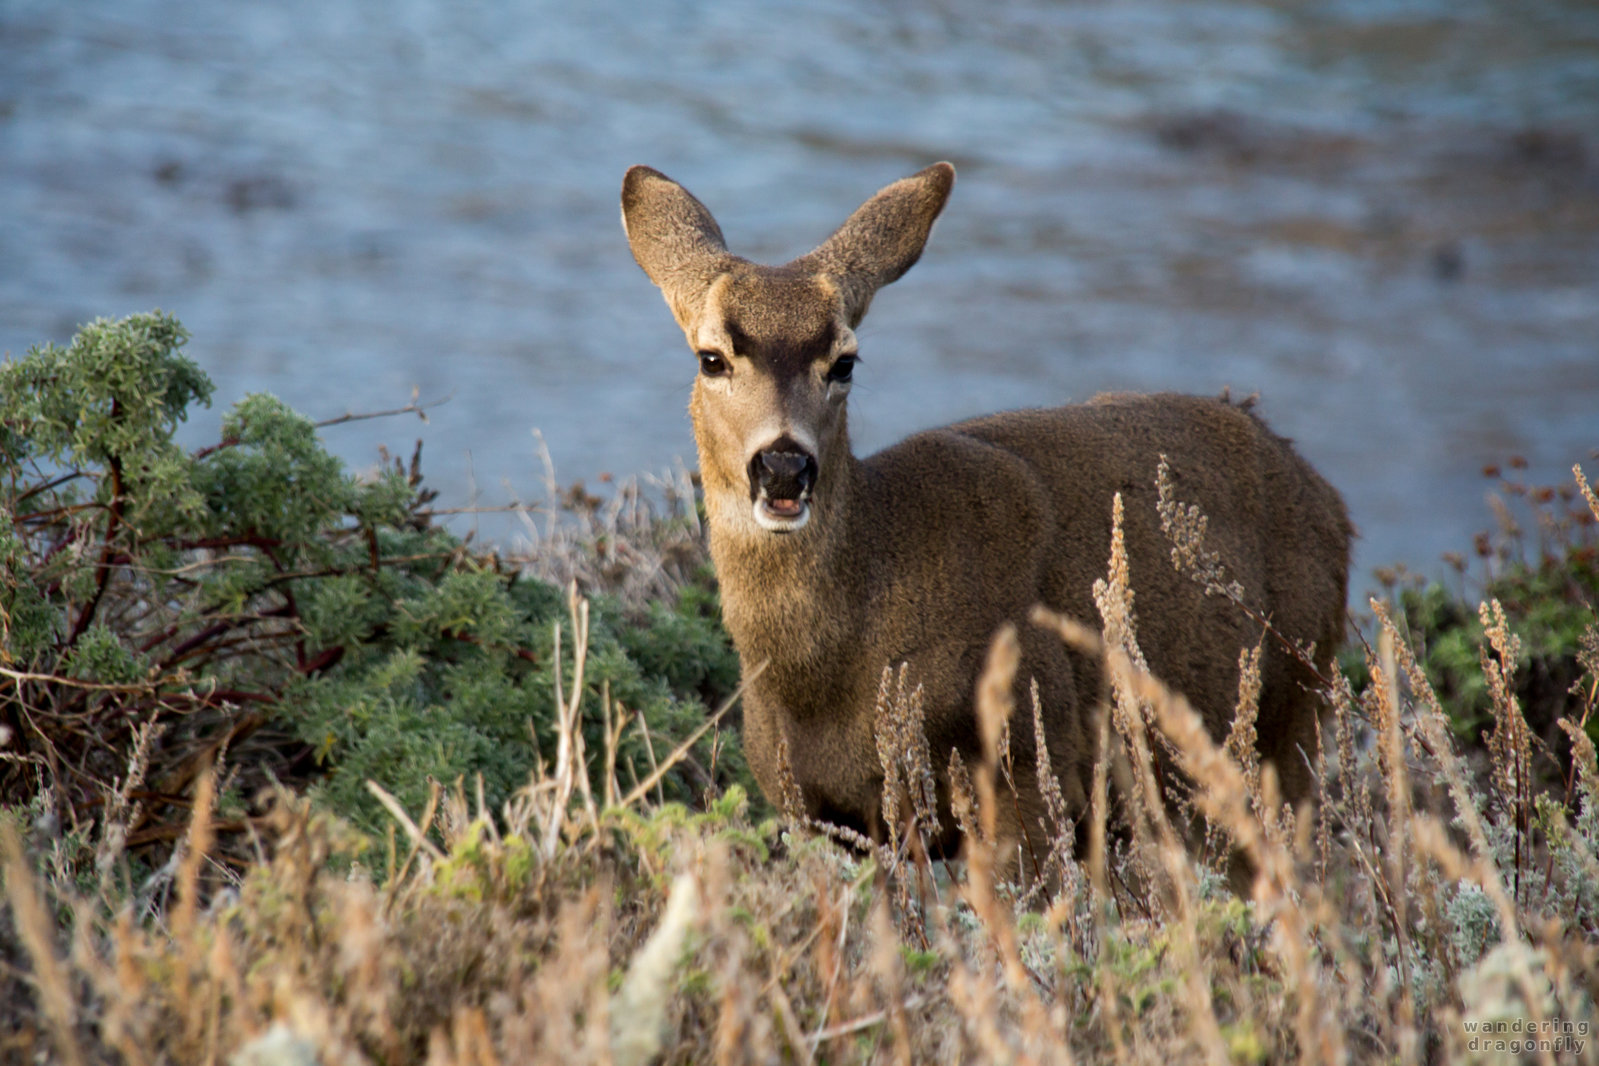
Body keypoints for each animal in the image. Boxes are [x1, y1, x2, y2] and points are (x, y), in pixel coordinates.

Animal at [617, 158, 1343, 869]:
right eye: (711, 358)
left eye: (844, 362)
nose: (784, 466)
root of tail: (1328, 501)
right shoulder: (815, 808)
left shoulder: (1029, 768)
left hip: (1291, 721)